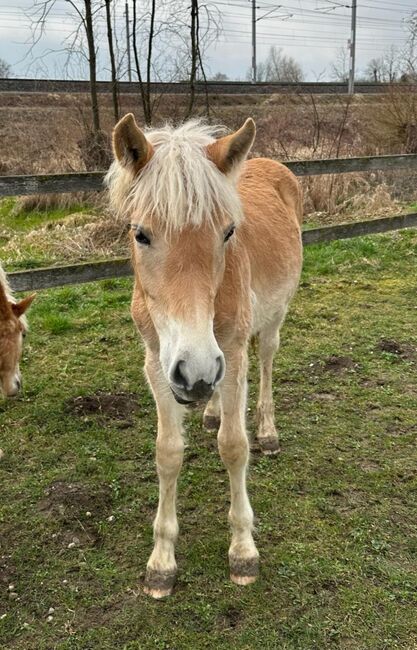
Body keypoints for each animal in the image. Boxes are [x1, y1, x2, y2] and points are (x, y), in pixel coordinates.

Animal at [106, 114, 302, 596]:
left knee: (267, 362)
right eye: (141, 234)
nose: (195, 372)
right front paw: (161, 561)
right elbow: (168, 452)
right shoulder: (158, 364)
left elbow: (234, 446)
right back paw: (211, 409)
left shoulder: (228, 355)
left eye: (228, 232)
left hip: (271, 322)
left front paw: (243, 551)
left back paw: (268, 430)